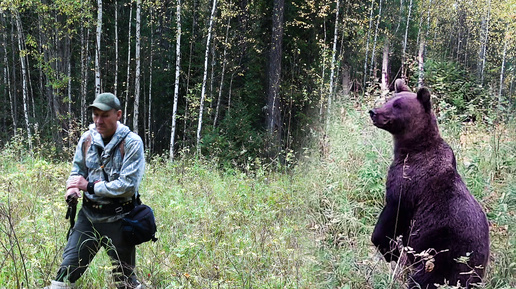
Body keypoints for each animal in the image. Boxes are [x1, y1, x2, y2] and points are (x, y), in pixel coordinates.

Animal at [368, 81, 490, 288]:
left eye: (397, 105)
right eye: (389, 100)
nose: (373, 112)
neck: (411, 148)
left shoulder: (408, 183)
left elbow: (391, 215)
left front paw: (390, 251)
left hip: (443, 256)